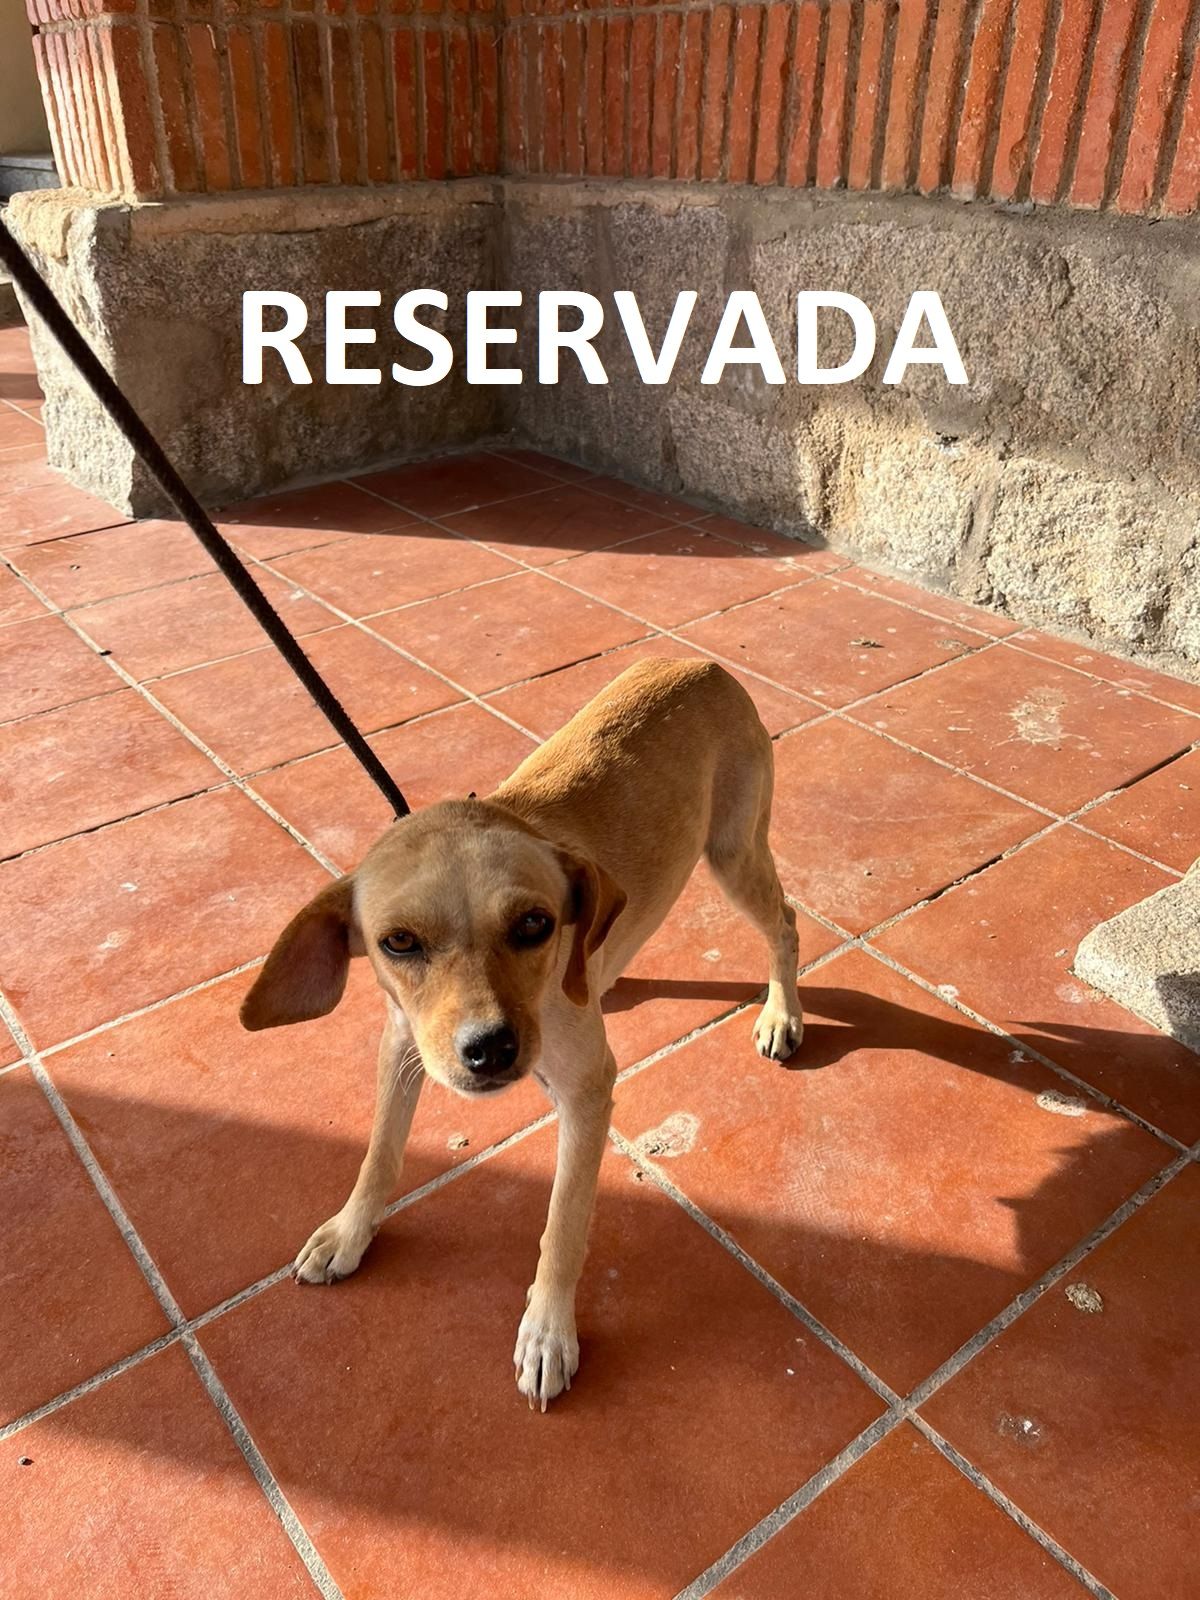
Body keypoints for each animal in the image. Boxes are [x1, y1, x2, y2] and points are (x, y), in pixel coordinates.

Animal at [241, 657, 804, 1408]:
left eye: (535, 923)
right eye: (398, 942)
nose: (490, 1049)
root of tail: (700, 662)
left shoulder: (590, 1093)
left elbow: (563, 1224)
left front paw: (547, 1332)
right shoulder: (403, 1044)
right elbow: (379, 1153)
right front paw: (350, 1231)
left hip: (734, 853)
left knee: (786, 923)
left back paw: (782, 1013)